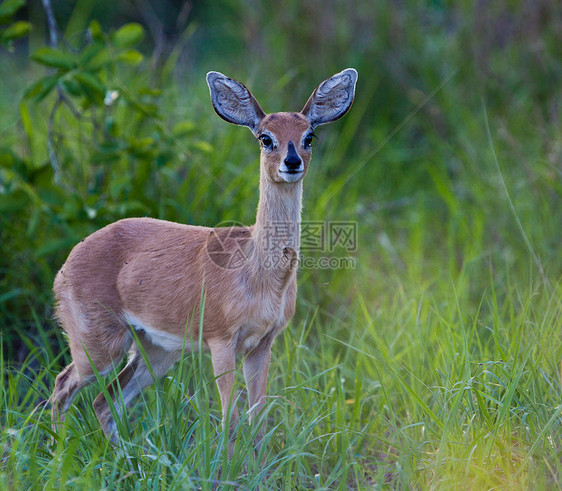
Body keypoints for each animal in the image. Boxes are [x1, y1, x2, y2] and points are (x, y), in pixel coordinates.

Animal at [50, 67, 356, 448]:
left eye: (309, 136)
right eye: (265, 138)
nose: (292, 162)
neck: (260, 273)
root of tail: (66, 265)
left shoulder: (262, 344)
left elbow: (258, 421)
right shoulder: (222, 341)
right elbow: (231, 420)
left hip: (156, 350)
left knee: (104, 402)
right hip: (98, 346)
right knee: (62, 387)